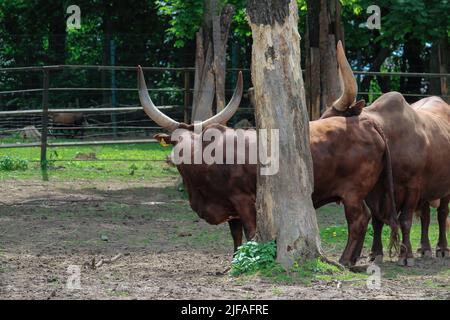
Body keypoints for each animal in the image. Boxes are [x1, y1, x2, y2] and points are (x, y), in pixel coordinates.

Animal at [137, 66, 398, 266]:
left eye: (197, 140)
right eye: (175, 140)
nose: (179, 156)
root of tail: (366, 122)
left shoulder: (244, 201)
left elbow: (251, 233)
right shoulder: (230, 208)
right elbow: (235, 236)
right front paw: (233, 260)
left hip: (352, 192)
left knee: (358, 219)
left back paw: (344, 260)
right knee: (370, 216)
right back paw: (352, 260)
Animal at [320, 41, 450, 264]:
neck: (389, 136)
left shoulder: (413, 187)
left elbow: (405, 220)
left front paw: (405, 255)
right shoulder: (375, 191)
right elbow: (377, 221)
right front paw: (376, 253)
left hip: (444, 187)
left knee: (441, 213)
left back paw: (442, 248)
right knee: (425, 215)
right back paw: (424, 248)